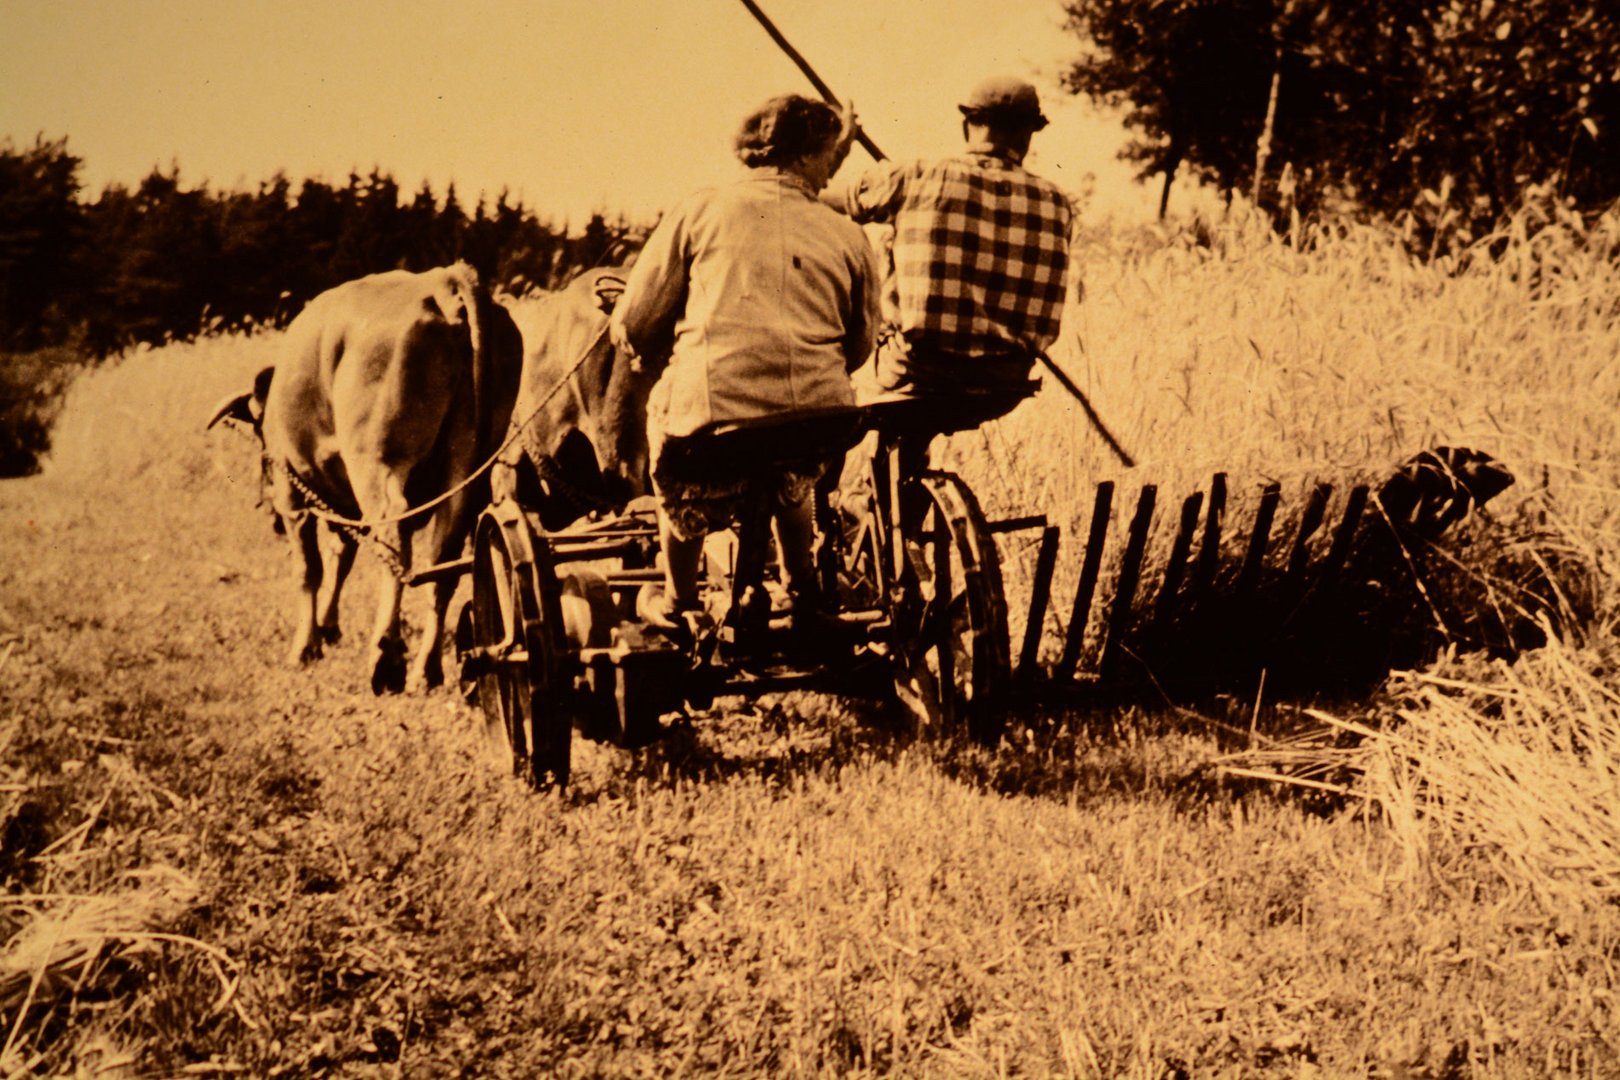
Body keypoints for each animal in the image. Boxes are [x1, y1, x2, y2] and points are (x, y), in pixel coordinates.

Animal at [208, 265, 521, 696]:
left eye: (259, 441)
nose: (266, 512)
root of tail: (443, 280)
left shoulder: (294, 497)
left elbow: (309, 568)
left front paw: (305, 646)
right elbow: (341, 557)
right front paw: (328, 627)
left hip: (376, 462)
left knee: (394, 538)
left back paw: (386, 658)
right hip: (466, 468)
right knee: (444, 558)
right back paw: (426, 669)